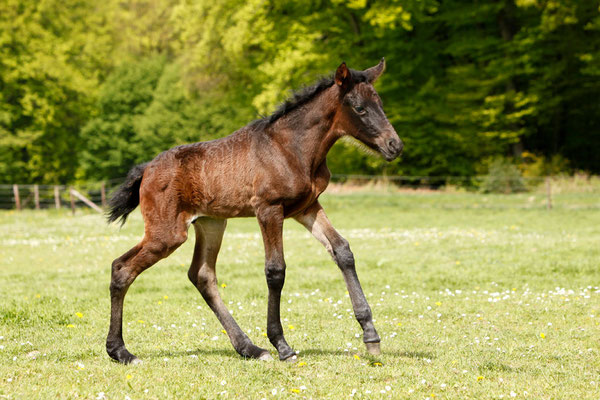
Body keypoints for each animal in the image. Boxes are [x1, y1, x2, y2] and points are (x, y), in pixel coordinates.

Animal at [106, 58, 406, 362]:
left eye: (380, 103)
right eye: (359, 108)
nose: (394, 145)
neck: (290, 149)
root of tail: (146, 169)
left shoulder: (307, 207)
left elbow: (342, 250)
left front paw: (371, 335)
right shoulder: (269, 210)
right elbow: (275, 270)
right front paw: (282, 345)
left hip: (211, 224)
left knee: (202, 275)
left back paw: (249, 348)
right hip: (167, 234)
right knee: (122, 268)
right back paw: (121, 352)